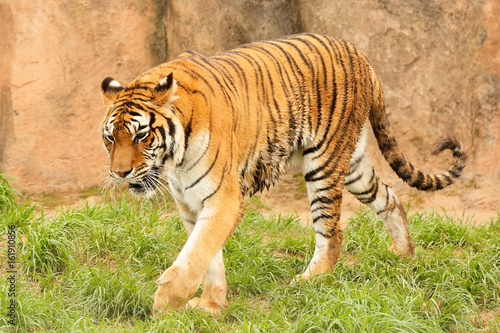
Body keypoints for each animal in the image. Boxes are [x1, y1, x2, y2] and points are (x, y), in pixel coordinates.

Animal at [99, 33, 466, 314]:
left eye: (141, 135)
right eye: (110, 138)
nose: (120, 172)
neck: (174, 158)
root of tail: (361, 55)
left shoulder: (223, 198)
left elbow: (196, 253)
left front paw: (165, 303)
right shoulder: (192, 204)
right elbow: (208, 256)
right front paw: (211, 305)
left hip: (324, 163)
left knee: (332, 232)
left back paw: (311, 280)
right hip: (354, 165)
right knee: (389, 197)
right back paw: (404, 254)